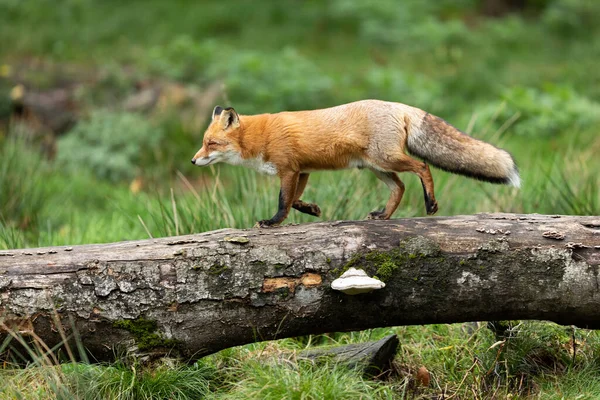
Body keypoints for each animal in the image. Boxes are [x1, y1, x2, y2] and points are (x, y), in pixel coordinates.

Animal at [192, 100, 520, 228]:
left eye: (211, 144)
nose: (194, 160)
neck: (260, 137)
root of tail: (398, 105)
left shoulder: (289, 170)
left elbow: (284, 201)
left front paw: (272, 222)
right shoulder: (303, 170)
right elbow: (296, 200)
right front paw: (312, 209)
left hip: (385, 159)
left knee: (422, 168)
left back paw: (430, 203)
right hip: (376, 167)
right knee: (400, 187)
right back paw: (384, 215)